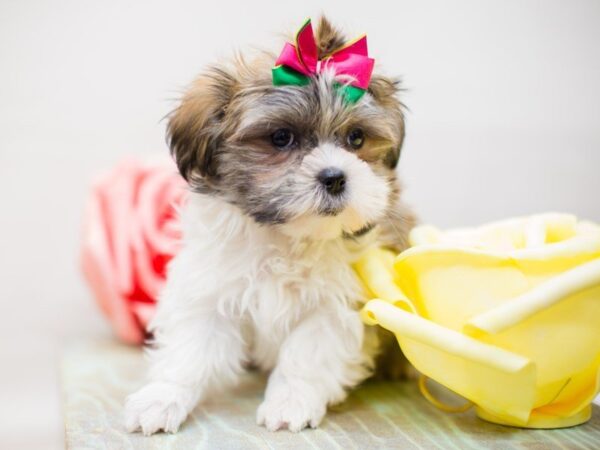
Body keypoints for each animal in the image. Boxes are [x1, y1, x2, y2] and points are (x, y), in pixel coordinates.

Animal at [124, 15, 414, 434]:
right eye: (281, 137)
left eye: (356, 138)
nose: (335, 177)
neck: (284, 236)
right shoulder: (210, 287)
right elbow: (190, 349)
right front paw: (162, 397)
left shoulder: (337, 303)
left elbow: (307, 352)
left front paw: (290, 401)